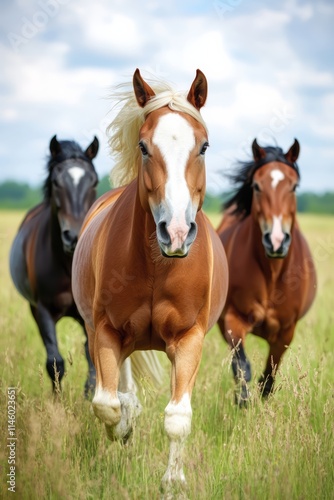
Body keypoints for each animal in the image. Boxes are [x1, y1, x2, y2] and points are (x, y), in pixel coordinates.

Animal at [9, 135, 98, 396]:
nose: (74, 237)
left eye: (94, 181)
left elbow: (91, 355)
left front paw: (91, 395)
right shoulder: (44, 311)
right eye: (56, 182)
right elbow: (55, 362)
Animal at [72, 68, 228, 494]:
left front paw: (174, 483)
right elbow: (107, 404)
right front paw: (124, 426)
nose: (175, 233)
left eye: (204, 146)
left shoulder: (189, 339)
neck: (159, 266)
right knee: (119, 386)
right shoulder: (106, 329)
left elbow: (177, 418)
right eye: (144, 147)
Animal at [218, 139, 318, 404]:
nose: (276, 240)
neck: (272, 275)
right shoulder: (233, 319)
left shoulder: (285, 332)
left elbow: (269, 377)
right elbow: (242, 367)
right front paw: (242, 402)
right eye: (256, 186)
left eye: (294, 186)